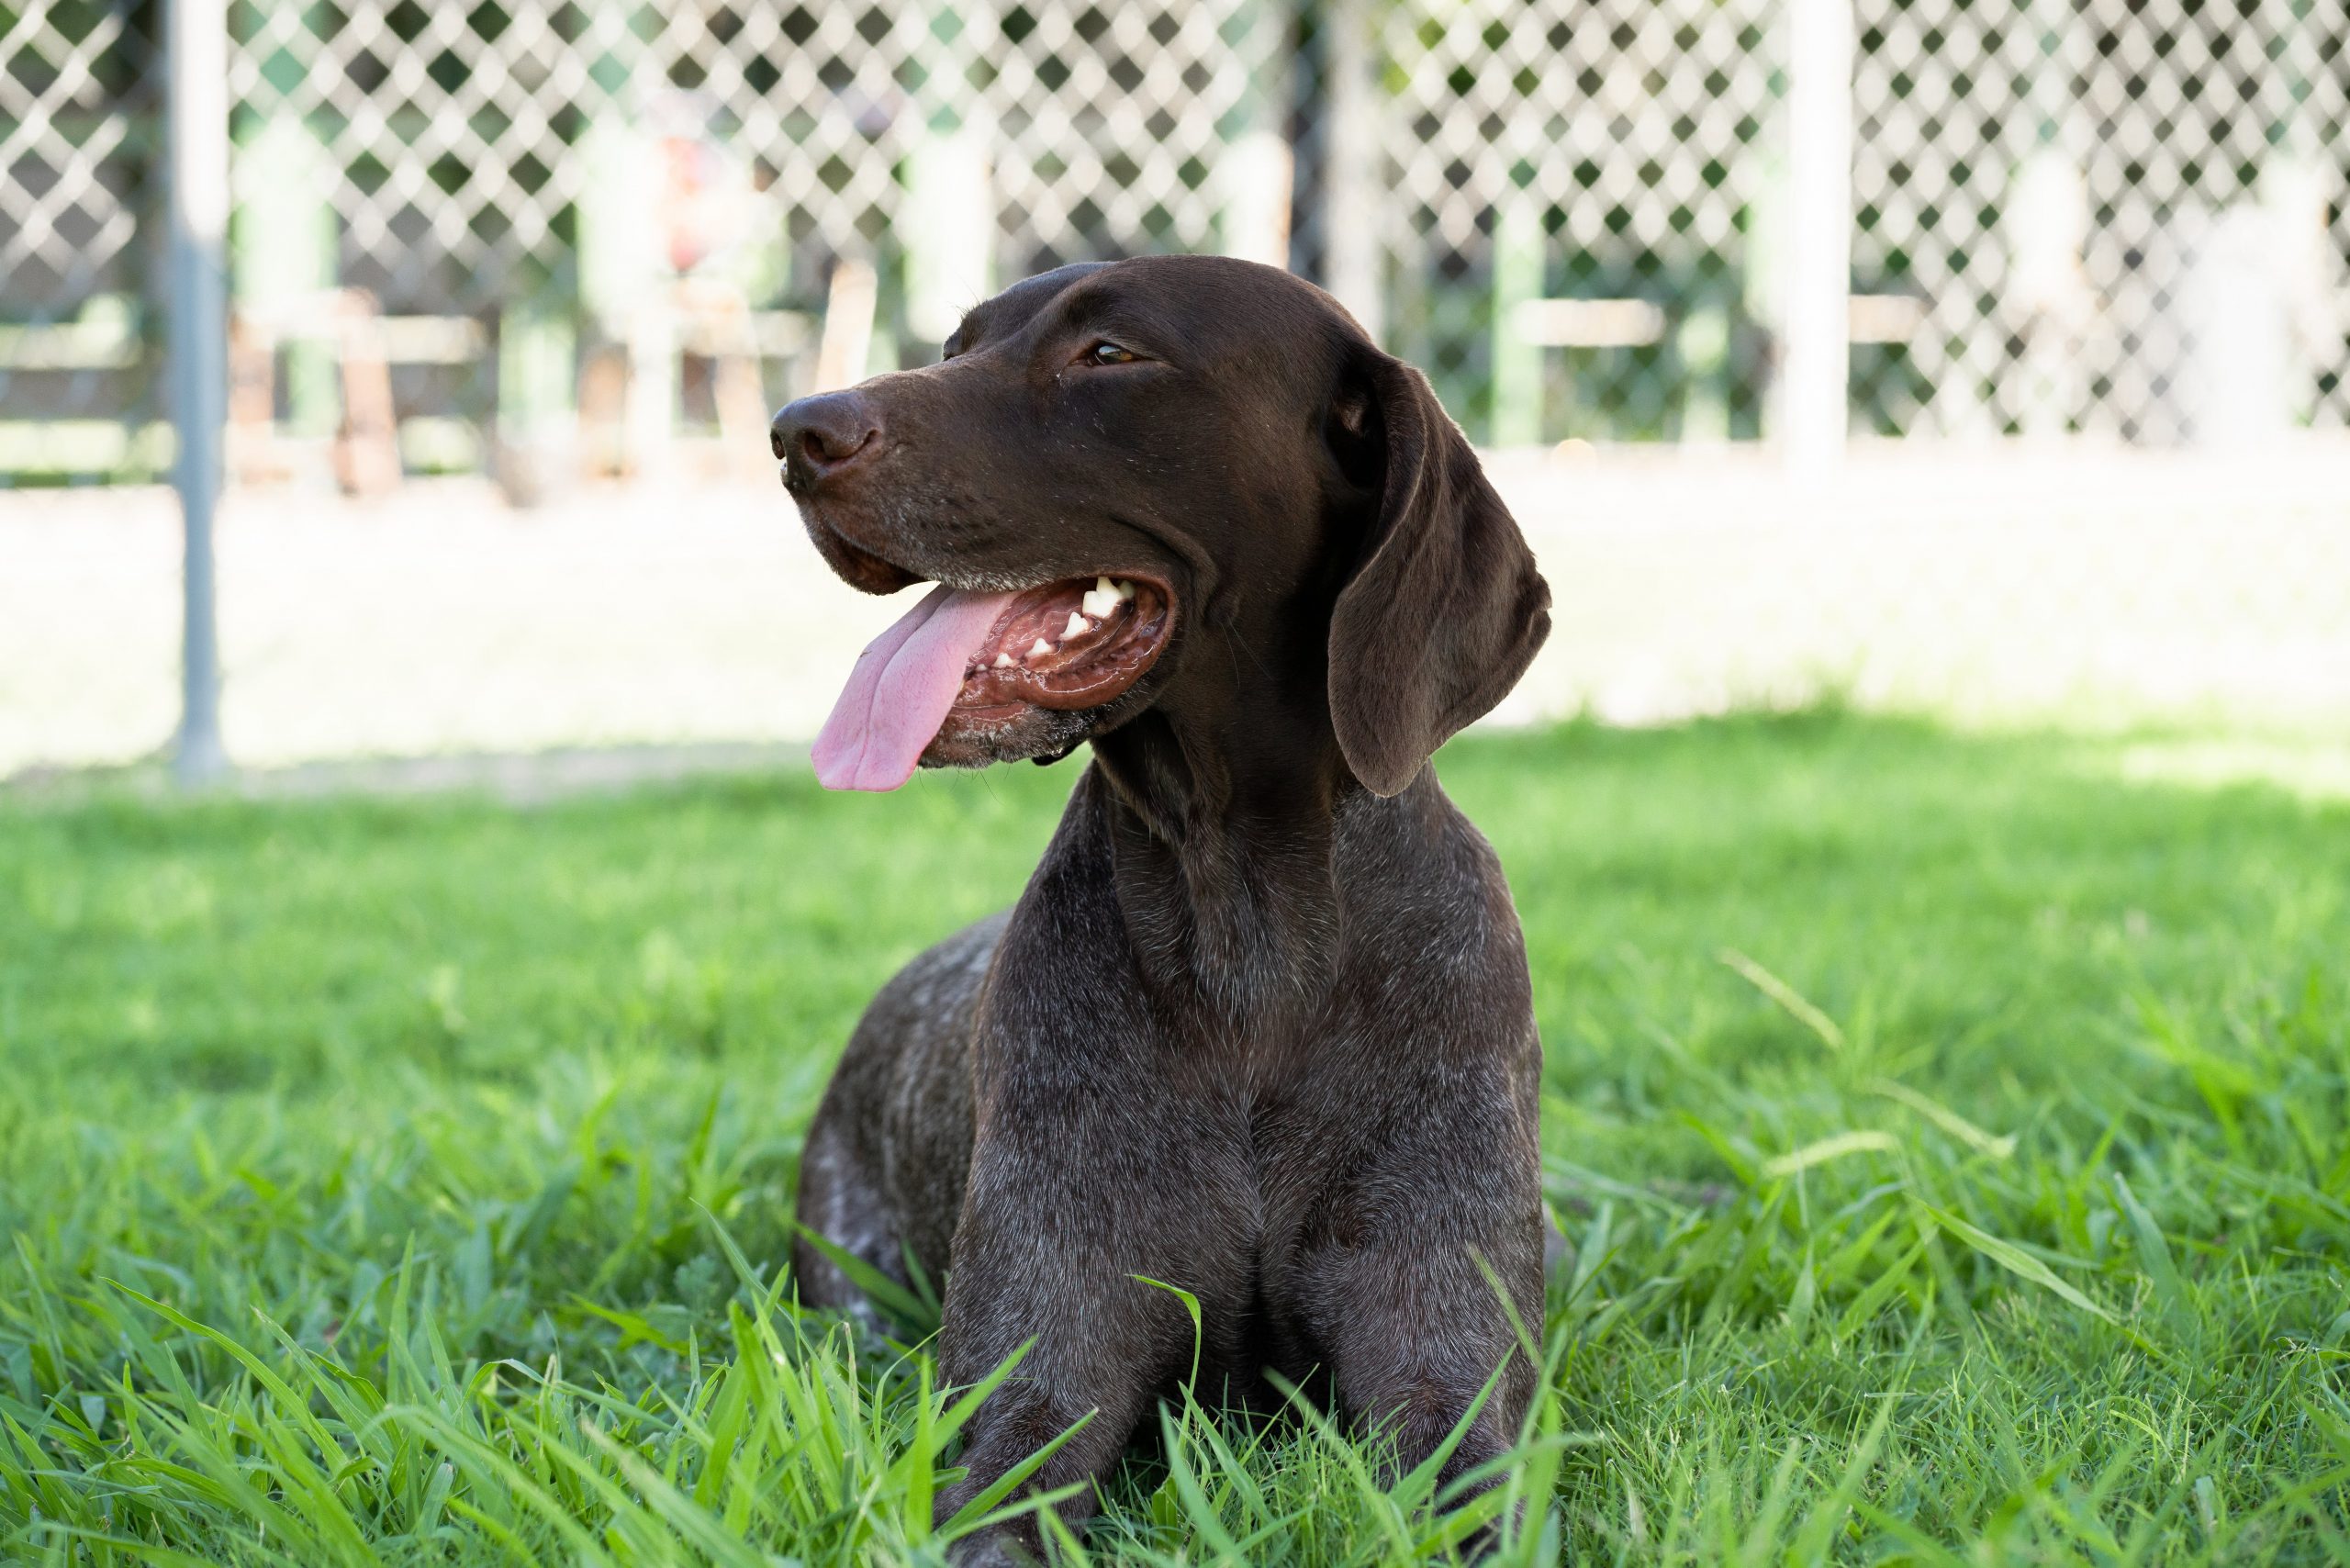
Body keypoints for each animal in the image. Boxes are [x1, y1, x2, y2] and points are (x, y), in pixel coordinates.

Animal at [766, 251, 1541, 1561]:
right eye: (958, 343)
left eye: (1110, 355)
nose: (795, 431)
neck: (1246, 930)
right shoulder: (1036, 1374)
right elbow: (1002, 1503)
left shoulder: (1442, 1354)